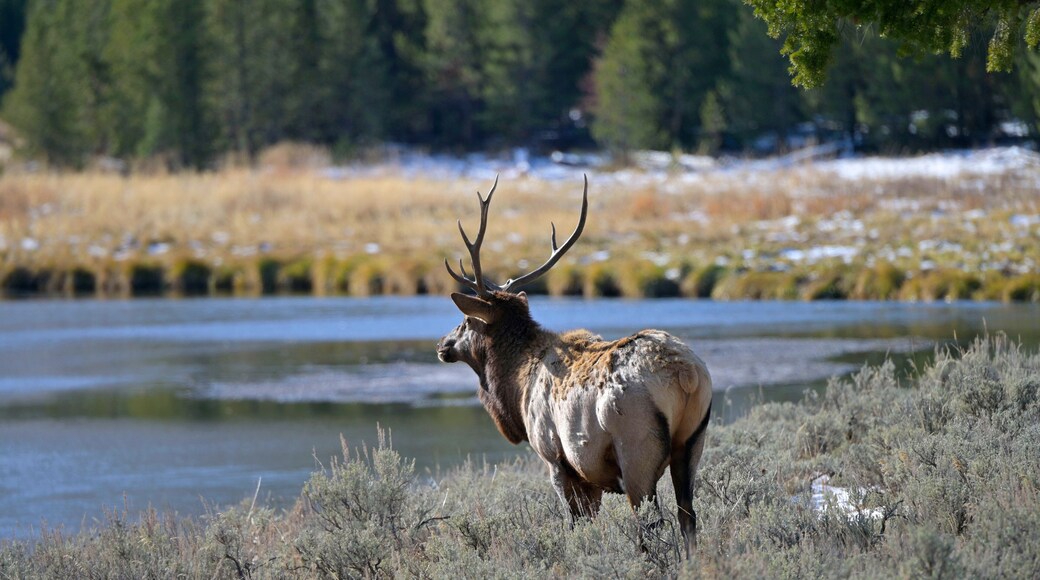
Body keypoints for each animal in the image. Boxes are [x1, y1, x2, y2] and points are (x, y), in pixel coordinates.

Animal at [436, 176, 713, 555]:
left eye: (465, 321)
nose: (441, 345)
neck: (516, 386)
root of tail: (687, 375)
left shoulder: (555, 457)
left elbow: (574, 525)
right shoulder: (589, 474)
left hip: (637, 448)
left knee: (651, 523)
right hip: (692, 442)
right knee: (688, 517)